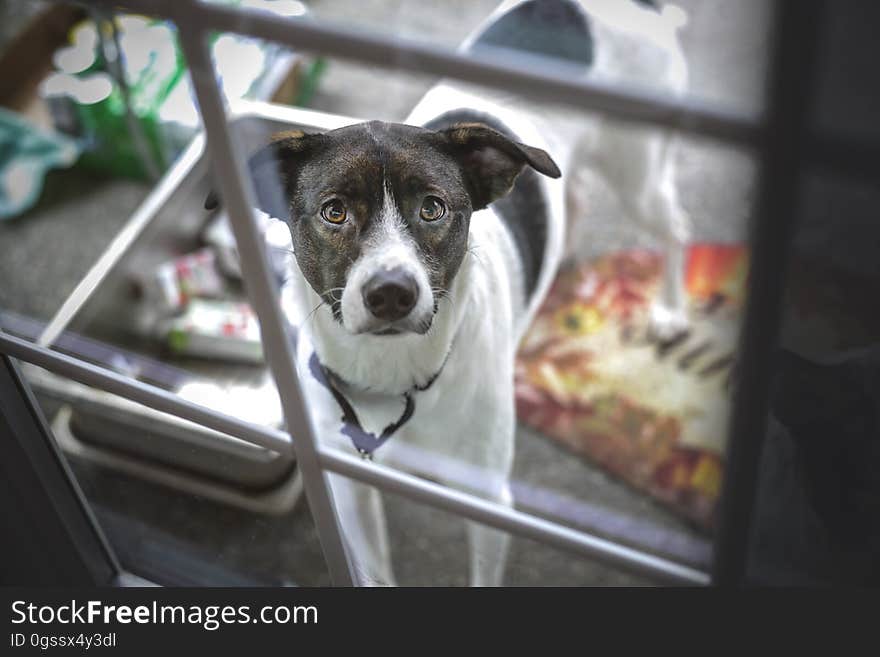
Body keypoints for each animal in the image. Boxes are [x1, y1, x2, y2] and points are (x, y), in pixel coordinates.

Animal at [217, 0, 692, 584]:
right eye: (334, 211)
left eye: (433, 208)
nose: (391, 294)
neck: (393, 371)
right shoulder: (348, 484)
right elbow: (374, 570)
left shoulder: (487, 500)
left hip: (638, 173)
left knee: (675, 227)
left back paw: (670, 311)